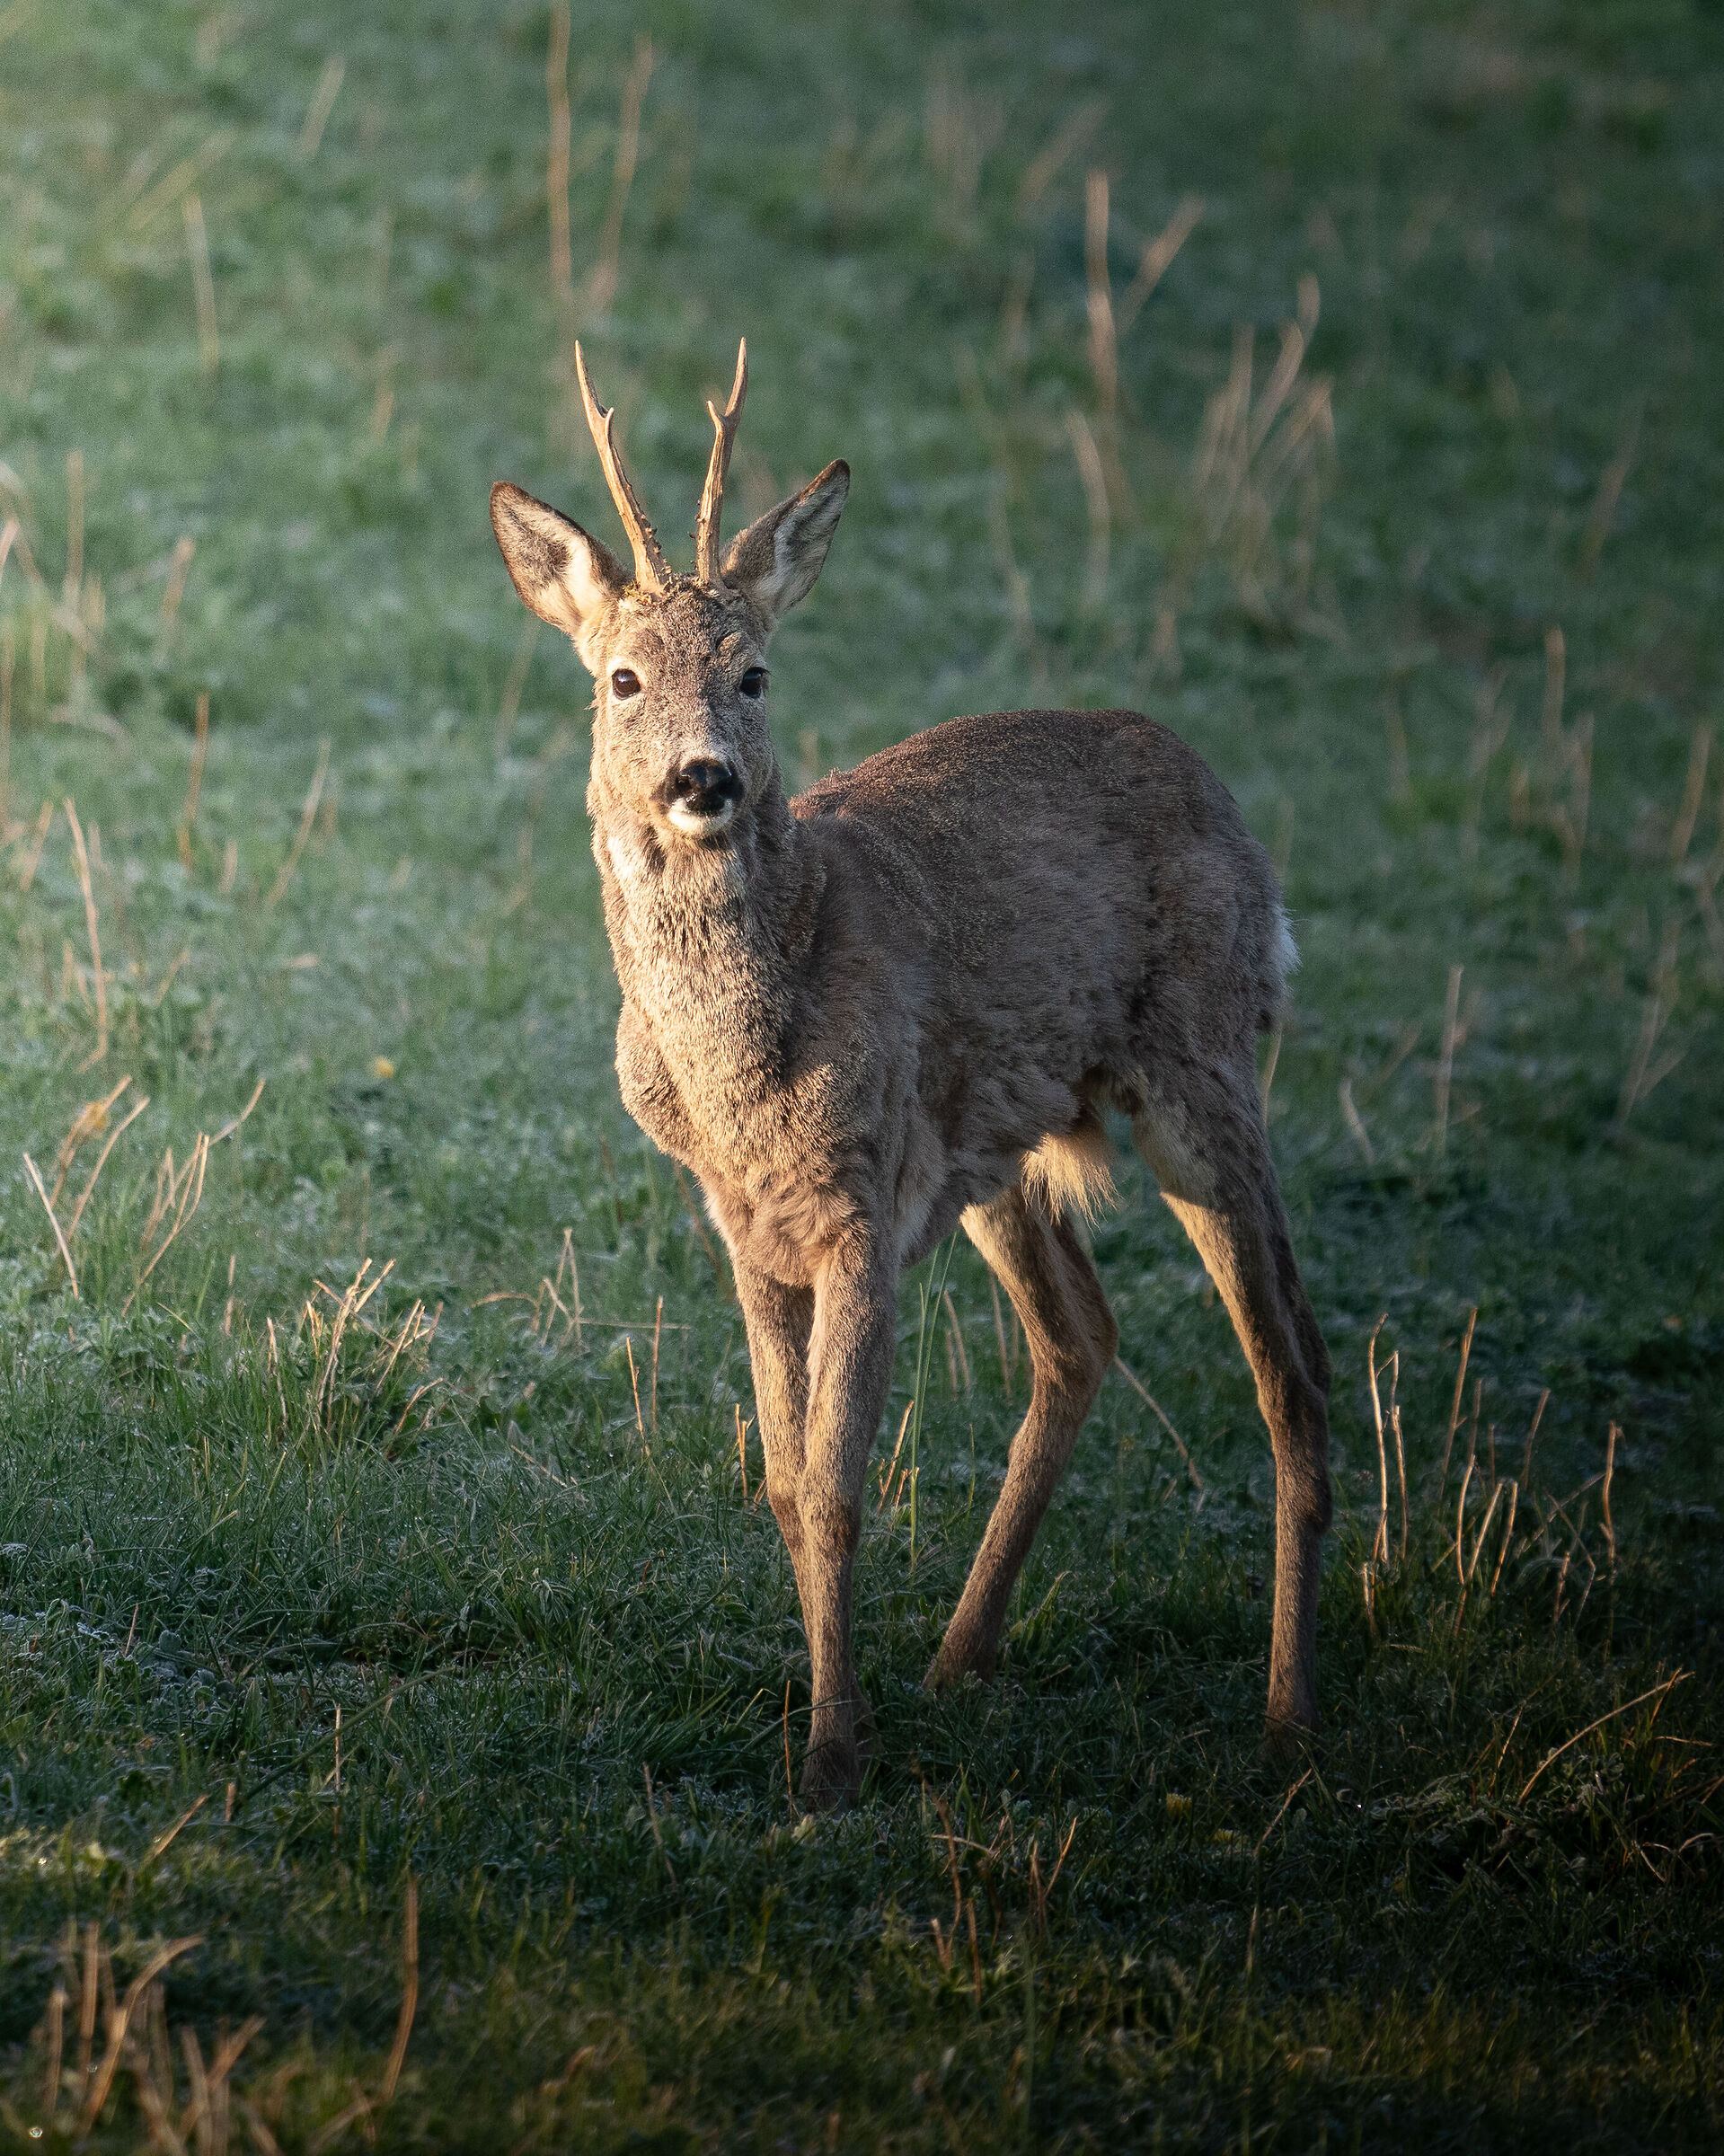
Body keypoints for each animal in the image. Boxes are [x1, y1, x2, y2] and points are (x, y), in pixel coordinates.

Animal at [489, 342, 1332, 1810]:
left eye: (755, 674)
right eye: (622, 679)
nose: (703, 781)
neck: (742, 1069)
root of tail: (1227, 806)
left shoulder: (859, 1209)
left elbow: (836, 1484)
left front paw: (832, 1756)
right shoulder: (746, 1227)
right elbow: (782, 1483)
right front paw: (835, 1717)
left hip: (1202, 1067)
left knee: (1289, 1368)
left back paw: (1284, 1717)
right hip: (1007, 1145)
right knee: (1082, 1337)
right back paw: (957, 1658)